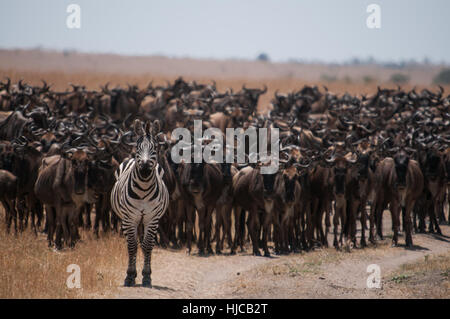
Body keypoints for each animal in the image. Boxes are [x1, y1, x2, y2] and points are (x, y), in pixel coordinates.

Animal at [110, 119, 169, 288]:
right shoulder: (130, 218)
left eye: (154, 148)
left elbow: (147, 245)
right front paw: (130, 276)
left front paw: (146, 277)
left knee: (143, 243)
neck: (143, 188)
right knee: (133, 243)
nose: (144, 169)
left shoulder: (152, 218)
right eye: (138, 147)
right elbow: (132, 245)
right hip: (127, 219)